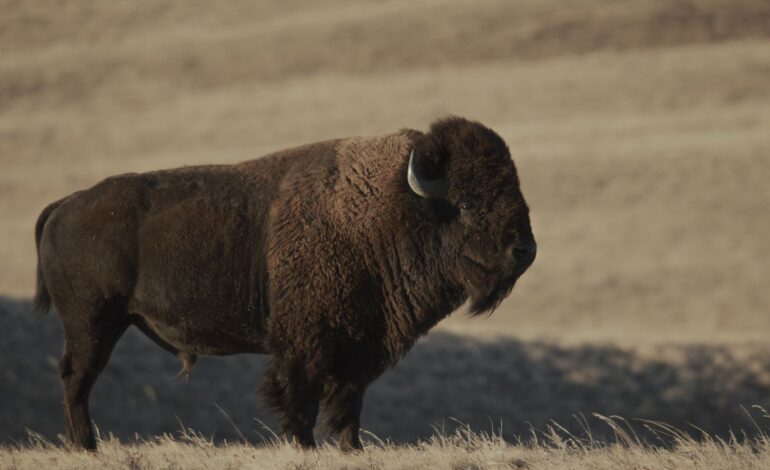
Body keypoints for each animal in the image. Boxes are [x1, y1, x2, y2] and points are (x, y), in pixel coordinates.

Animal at [33, 116, 536, 451]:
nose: (525, 250)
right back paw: (86, 445)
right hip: (92, 323)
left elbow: (348, 407)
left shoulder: (359, 349)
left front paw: (351, 450)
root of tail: (65, 206)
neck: (391, 208)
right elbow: (301, 404)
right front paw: (305, 447)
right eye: (468, 203)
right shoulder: (303, 348)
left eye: (516, 191)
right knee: (77, 378)